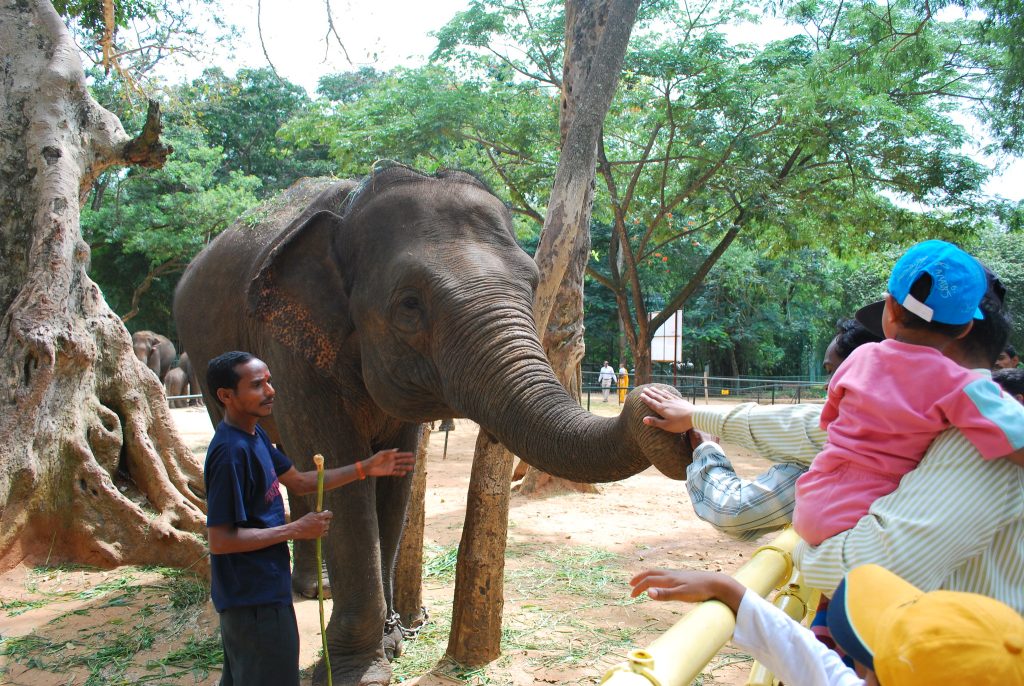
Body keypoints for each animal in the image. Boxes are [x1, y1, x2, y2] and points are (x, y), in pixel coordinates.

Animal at [173, 167, 688, 686]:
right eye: (409, 304)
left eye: (532, 282)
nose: (659, 403)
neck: (353, 206)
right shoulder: (290, 344)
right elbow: (338, 469)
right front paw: (357, 673)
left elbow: (393, 480)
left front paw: (391, 642)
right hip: (204, 356)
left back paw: (317, 588)